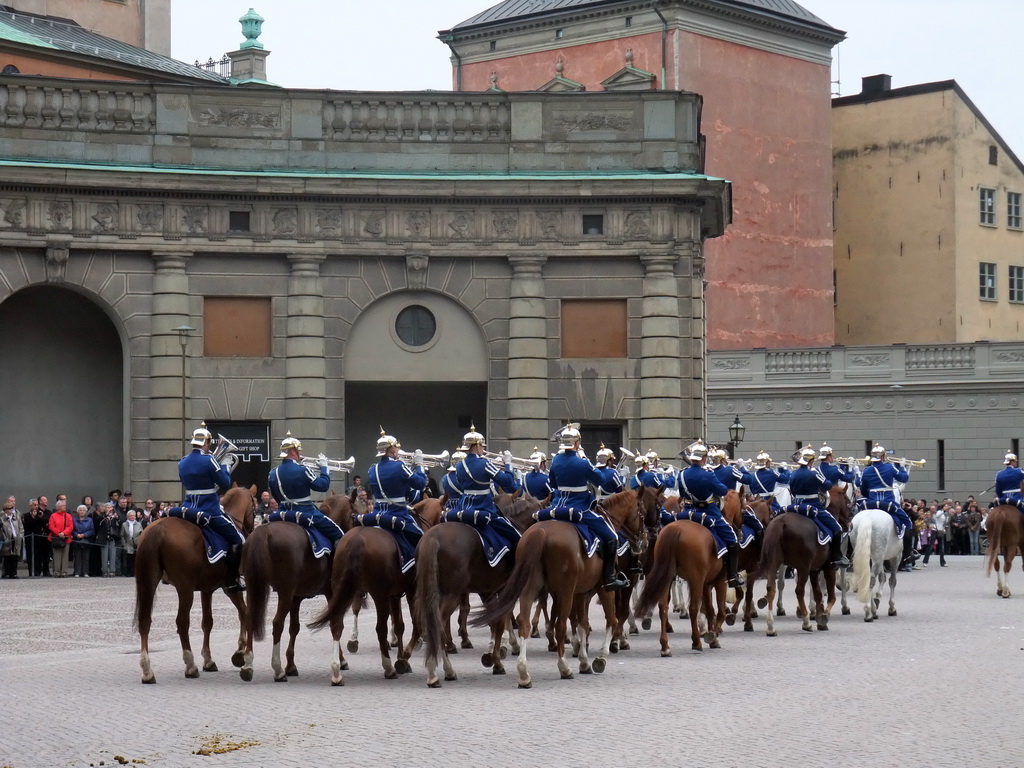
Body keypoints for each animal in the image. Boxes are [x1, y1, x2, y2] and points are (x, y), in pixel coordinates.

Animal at [134, 487, 256, 684]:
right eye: (255, 506)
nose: (251, 529)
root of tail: (159, 528)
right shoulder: (229, 587)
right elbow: (244, 613)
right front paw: (240, 653)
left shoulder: (207, 589)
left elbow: (207, 622)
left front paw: (209, 659)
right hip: (184, 588)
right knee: (182, 622)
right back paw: (190, 666)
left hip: (149, 581)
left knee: (145, 620)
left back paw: (147, 671)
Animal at [237, 489, 354, 684]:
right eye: (353, 514)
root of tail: (263, 531)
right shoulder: (332, 593)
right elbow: (336, 624)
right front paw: (341, 662)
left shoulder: (296, 597)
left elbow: (294, 627)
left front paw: (291, 665)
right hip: (284, 592)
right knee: (277, 623)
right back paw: (277, 670)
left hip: (255, 588)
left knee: (250, 618)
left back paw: (247, 666)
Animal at [468, 489, 638, 688]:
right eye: (643, 511)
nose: (643, 539)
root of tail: (541, 531)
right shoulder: (603, 588)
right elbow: (609, 619)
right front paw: (599, 659)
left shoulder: (579, 592)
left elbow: (582, 623)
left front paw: (584, 660)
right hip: (565, 591)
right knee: (560, 624)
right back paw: (563, 667)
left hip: (528, 588)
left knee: (522, 621)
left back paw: (523, 672)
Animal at [753, 487, 847, 638]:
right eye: (849, 502)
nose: (850, 524)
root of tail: (781, 522)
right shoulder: (829, 567)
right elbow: (830, 596)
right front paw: (824, 616)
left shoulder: (814, 570)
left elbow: (818, 594)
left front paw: (820, 619)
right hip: (802, 567)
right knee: (799, 591)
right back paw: (806, 622)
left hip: (774, 563)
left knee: (771, 588)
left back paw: (771, 627)